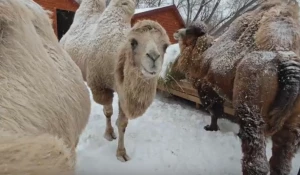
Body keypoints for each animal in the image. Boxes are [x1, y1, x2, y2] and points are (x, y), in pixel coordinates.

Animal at [173, 0, 300, 174]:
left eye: (189, 31)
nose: (177, 32)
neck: (203, 53)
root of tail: (287, 59)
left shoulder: (207, 88)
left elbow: (214, 111)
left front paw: (210, 128)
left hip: (253, 109)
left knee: (257, 159)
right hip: (292, 123)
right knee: (282, 160)